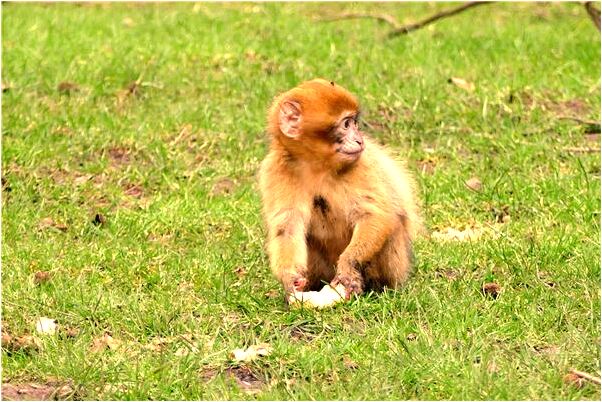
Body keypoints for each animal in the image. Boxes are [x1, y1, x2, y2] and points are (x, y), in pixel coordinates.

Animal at [258, 78, 422, 302]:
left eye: (354, 123)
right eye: (346, 124)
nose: (360, 140)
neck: (317, 166)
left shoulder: (362, 163)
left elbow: (375, 215)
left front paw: (348, 267)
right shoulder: (275, 171)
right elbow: (287, 227)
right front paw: (290, 279)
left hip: (396, 268)